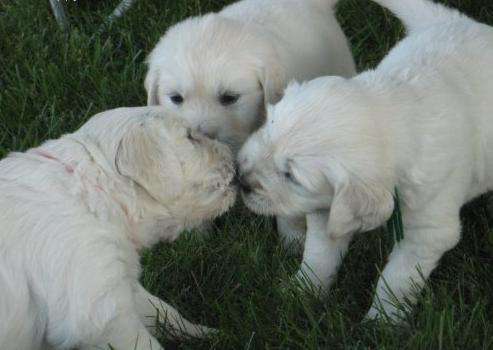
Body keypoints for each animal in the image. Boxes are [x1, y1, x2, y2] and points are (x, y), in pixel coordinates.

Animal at [0, 107, 236, 350]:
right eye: (190, 136)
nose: (233, 153)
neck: (96, 191)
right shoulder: (100, 310)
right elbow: (143, 342)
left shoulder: (118, 277)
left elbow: (161, 310)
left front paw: (210, 334)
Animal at [237, 0, 492, 322]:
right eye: (266, 129)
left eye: (291, 175)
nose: (240, 180)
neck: (394, 114)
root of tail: (462, 22)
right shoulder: (327, 209)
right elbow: (319, 256)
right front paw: (300, 293)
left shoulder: (427, 229)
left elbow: (397, 279)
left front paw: (381, 321)